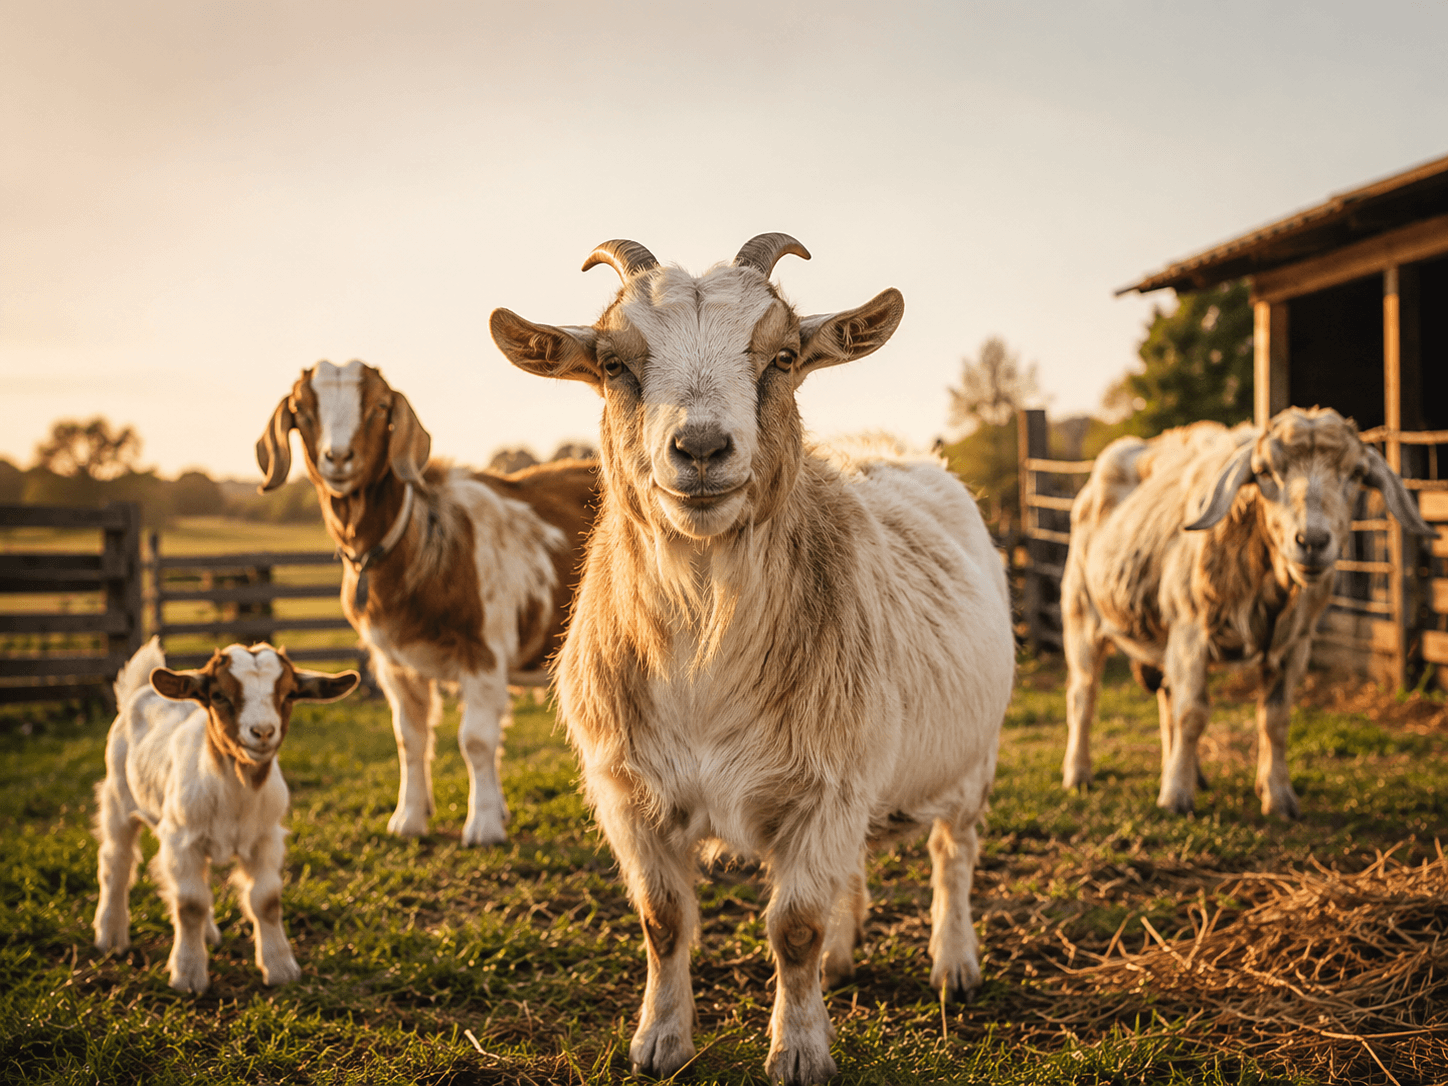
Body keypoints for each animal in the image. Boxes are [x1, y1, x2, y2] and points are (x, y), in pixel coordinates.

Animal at [93, 637, 358, 992]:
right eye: (218, 695)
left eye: (289, 694)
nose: (262, 732)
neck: (236, 791)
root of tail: (140, 691)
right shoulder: (181, 840)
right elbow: (189, 904)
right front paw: (188, 975)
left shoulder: (265, 838)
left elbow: (266, 900)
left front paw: (280, 969)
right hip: (119, 797)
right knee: (117, 860)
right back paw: (111, 936)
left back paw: (207, 934)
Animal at [256, 362, 597, 845]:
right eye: (302, 410)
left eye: (380, 407)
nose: (338, 457)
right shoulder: (393, 661)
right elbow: (410, 738)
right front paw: (410, 819)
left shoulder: (483, 650)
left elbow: (476, 740)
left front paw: (484, 826)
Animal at [490, 235, 1015, 1085]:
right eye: (612, 361)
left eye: (785, 356)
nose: (701, 448)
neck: (707, 642)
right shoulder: (633, 793)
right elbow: (664, 920)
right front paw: (660, 1042)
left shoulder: (824, 788)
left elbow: (794, 927)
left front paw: (798, 1051)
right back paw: (847, 952)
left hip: (971, 755)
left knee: (953, 853)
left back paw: (954, 961)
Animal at [1060, 407, 1433, 818]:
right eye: (1265, 472)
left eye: (1354, 473)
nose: (1312, 541)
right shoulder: (1190, 633)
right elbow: (1192, 714)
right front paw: (1175, 797)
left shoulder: (1294, 645)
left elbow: (1275, 719)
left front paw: (1278, 796)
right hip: (1081, 614)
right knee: (1084, 694)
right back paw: (1078, 774)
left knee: (1164, 699)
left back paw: (1190, 773)